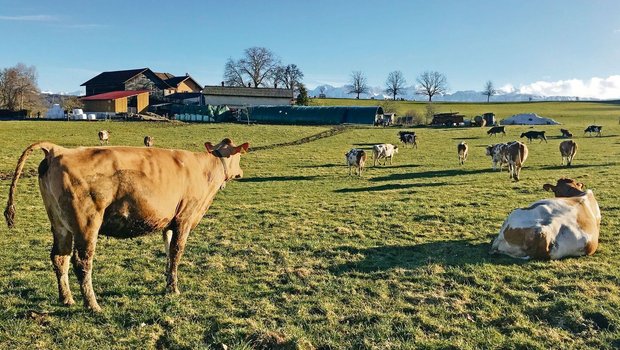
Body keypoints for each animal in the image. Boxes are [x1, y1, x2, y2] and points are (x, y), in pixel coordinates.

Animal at [3, 138, 249, 310]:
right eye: (239, 156)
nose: (240, 172)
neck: (205, 169)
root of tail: (58, 150)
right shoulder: (184, 218)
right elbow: (177, 252)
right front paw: (174, 289)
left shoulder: (168, 222)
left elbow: (168, 251)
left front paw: (167, 283)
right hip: (87, 223)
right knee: (82, 262)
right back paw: (92, 305)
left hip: (60, 224)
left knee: (59, 258)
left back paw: (67, 299)